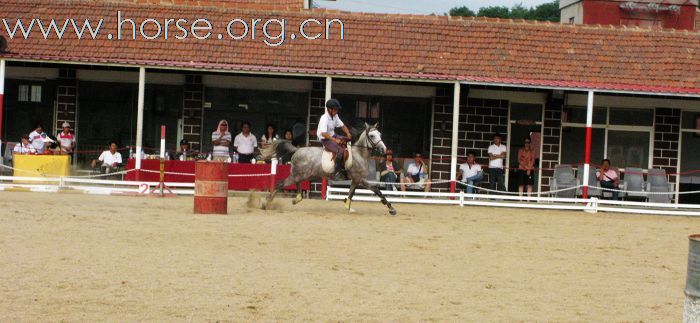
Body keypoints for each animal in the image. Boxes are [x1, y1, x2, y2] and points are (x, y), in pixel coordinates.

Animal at [260, 123, 396, 216]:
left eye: (380, 134)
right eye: (372, 135)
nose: (384, 149)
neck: (359, 154)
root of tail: (297, 150)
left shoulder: (356, 180)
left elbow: (356, 193)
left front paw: (348, 206)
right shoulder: (359, 178)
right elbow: (374, 191)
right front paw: (391, 208)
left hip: (302, 175)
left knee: (296, 184)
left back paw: (297, 198)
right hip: (298, 175)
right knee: (280, 184)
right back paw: (265, 203)